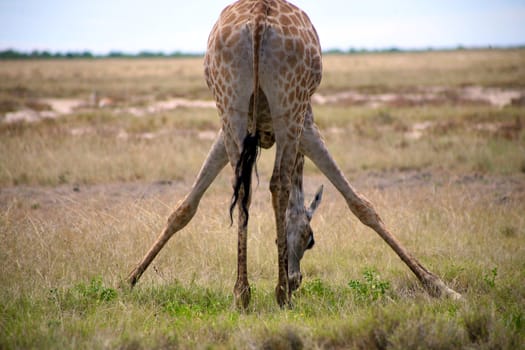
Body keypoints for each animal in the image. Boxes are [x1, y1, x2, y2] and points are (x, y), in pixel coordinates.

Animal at [126, 0, 458, 306]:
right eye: (312, 241)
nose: (297, 279)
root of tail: (259, 18)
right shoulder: (307, 125)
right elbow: (361, 204)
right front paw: (440, 287)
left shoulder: (226, 131)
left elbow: (185, 207)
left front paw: (129, 279)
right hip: (290, 106)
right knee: (279, 184)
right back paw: (281, 294)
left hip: (230, 103)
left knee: (244, 189)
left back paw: (242, 294)